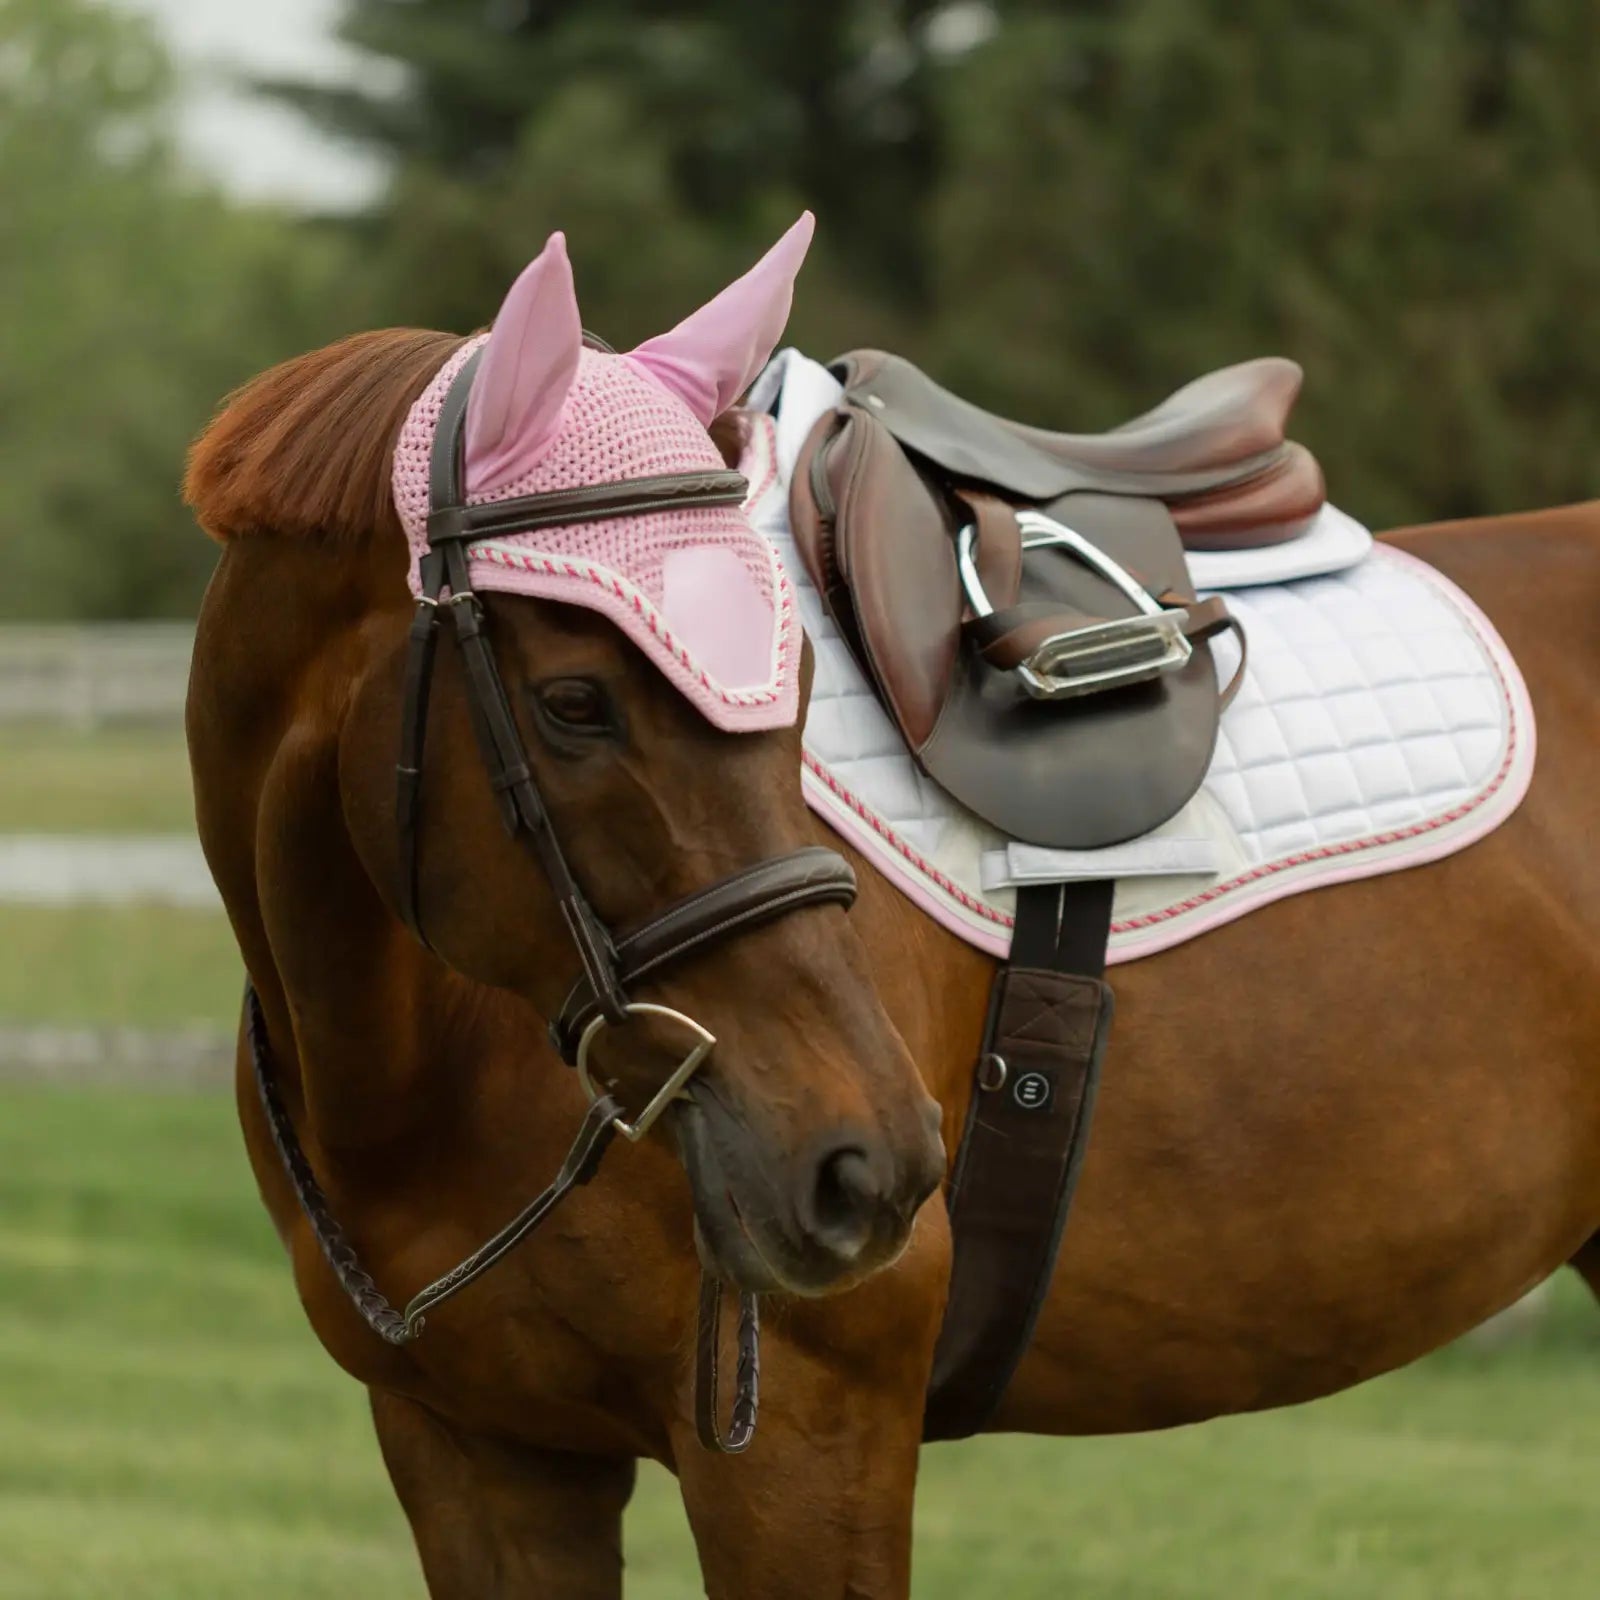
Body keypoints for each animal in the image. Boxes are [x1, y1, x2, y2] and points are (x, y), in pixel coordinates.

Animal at [183, 218, 1600, 1597]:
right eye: (574, 701)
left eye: (804, 682)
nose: (863, 1162)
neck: (421, 1058)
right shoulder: (480, 1453)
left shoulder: (804, 1439)